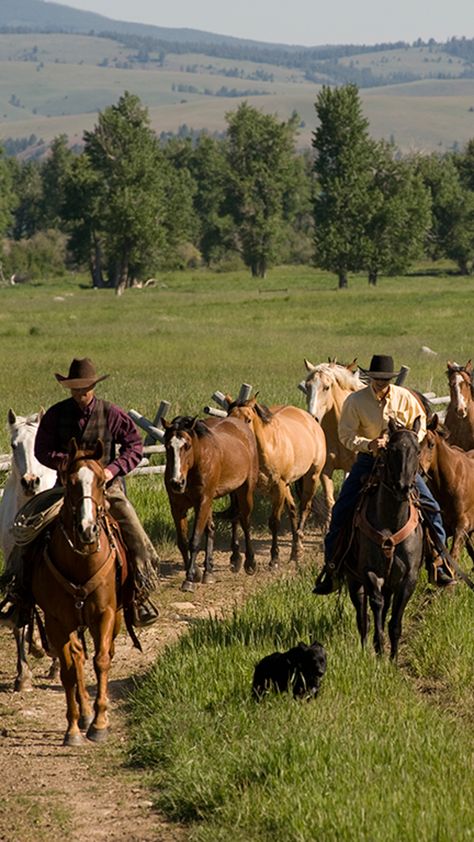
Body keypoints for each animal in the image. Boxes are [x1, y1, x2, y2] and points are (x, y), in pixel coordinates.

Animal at [30, 436, 133, 744]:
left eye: (100, 481)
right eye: (73, 482)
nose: (87, 530)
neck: (82, 561)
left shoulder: (105, 613)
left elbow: (101, 661)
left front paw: (100, 724)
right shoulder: (56, 621)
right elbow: (68, 670)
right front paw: (74, 727)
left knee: (103, 652)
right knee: (76, 657)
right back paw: (84, 713)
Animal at [163, 416, 260, 592]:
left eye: (187, 445)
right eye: (167, 446)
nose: (177, 483)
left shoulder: (203, 501)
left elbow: (194, 540)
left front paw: (189, 579)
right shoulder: (177, 506)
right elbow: (183, 542)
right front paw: (196, 572)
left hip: (245, 491)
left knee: (245, 521)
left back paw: (249, 563)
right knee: (218, 526)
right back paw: (212, 569)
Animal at [229, 398, 326, 568]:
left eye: (248, 419)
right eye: (229, 417)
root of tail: (312, 420)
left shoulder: (278, 486)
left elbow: (274, 522)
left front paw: (274, 559)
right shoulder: (241, 489)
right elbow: (237, 517)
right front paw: (236, 558)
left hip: (312, 477)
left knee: (304, 508)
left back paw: (298, 547)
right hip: (287, 485)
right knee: (293, 510)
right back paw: (295, 552)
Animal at [342, 416, 424, 660]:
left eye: (417, 450)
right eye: (392, 449)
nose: (403, 487)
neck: (391, 522)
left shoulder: (408, 578)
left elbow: (395, 621)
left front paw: (393, 657)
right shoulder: (369, 573)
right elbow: (375, 606)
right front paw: (378, 649)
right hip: (353, 579)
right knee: (363, 616)